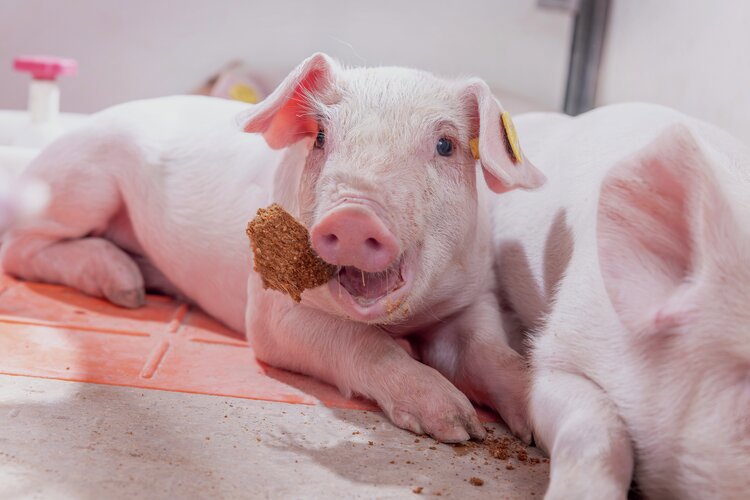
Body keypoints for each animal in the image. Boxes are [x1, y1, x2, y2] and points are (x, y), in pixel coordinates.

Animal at [0, 53, 545, 443]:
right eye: (321, 137)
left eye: (446, 145)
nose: (353, 215)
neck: (401, 319)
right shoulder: (267, 313)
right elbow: (361, 342)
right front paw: (456, 424)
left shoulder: (474, 294)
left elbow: (492, 353)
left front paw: (514, 426)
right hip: (80, 185)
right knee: (19, 247)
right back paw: (126, 290)